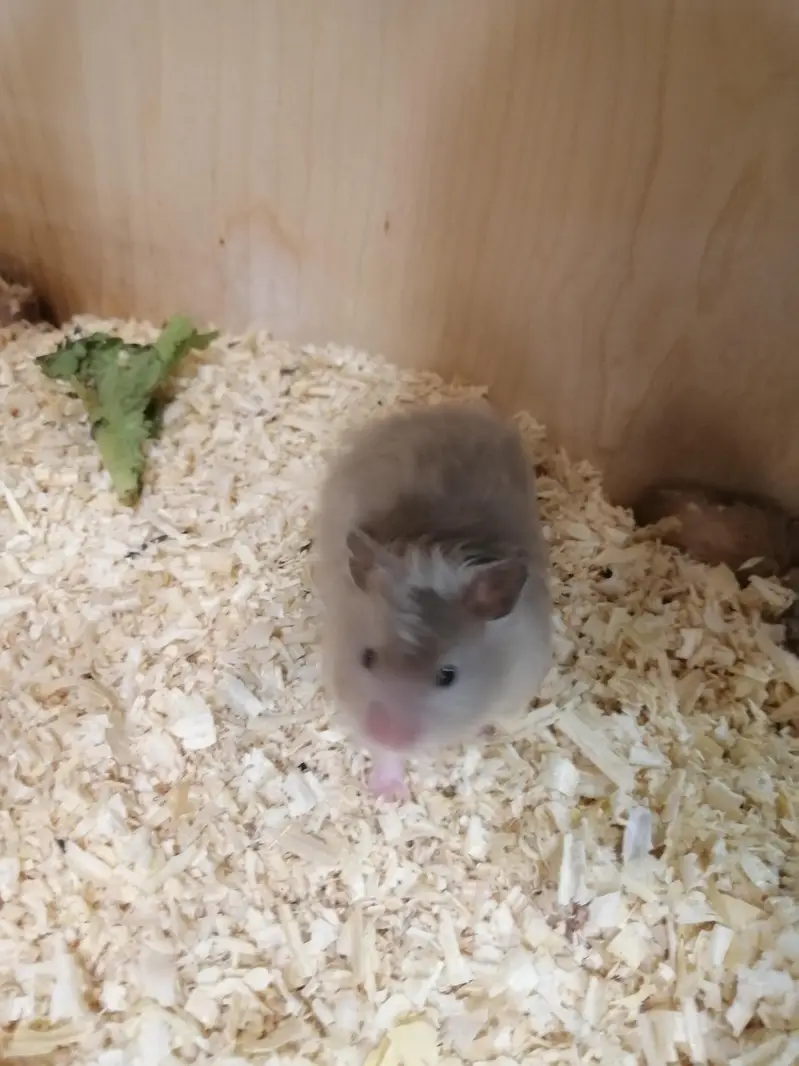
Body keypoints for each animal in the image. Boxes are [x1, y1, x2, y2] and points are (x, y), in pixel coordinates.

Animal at [314, 401, 552, 799]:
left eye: (447, 676)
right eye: (367, 658)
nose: (387, 734)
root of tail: (446, 410)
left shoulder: (520, 680)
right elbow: (385, 756)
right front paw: (388, 796)